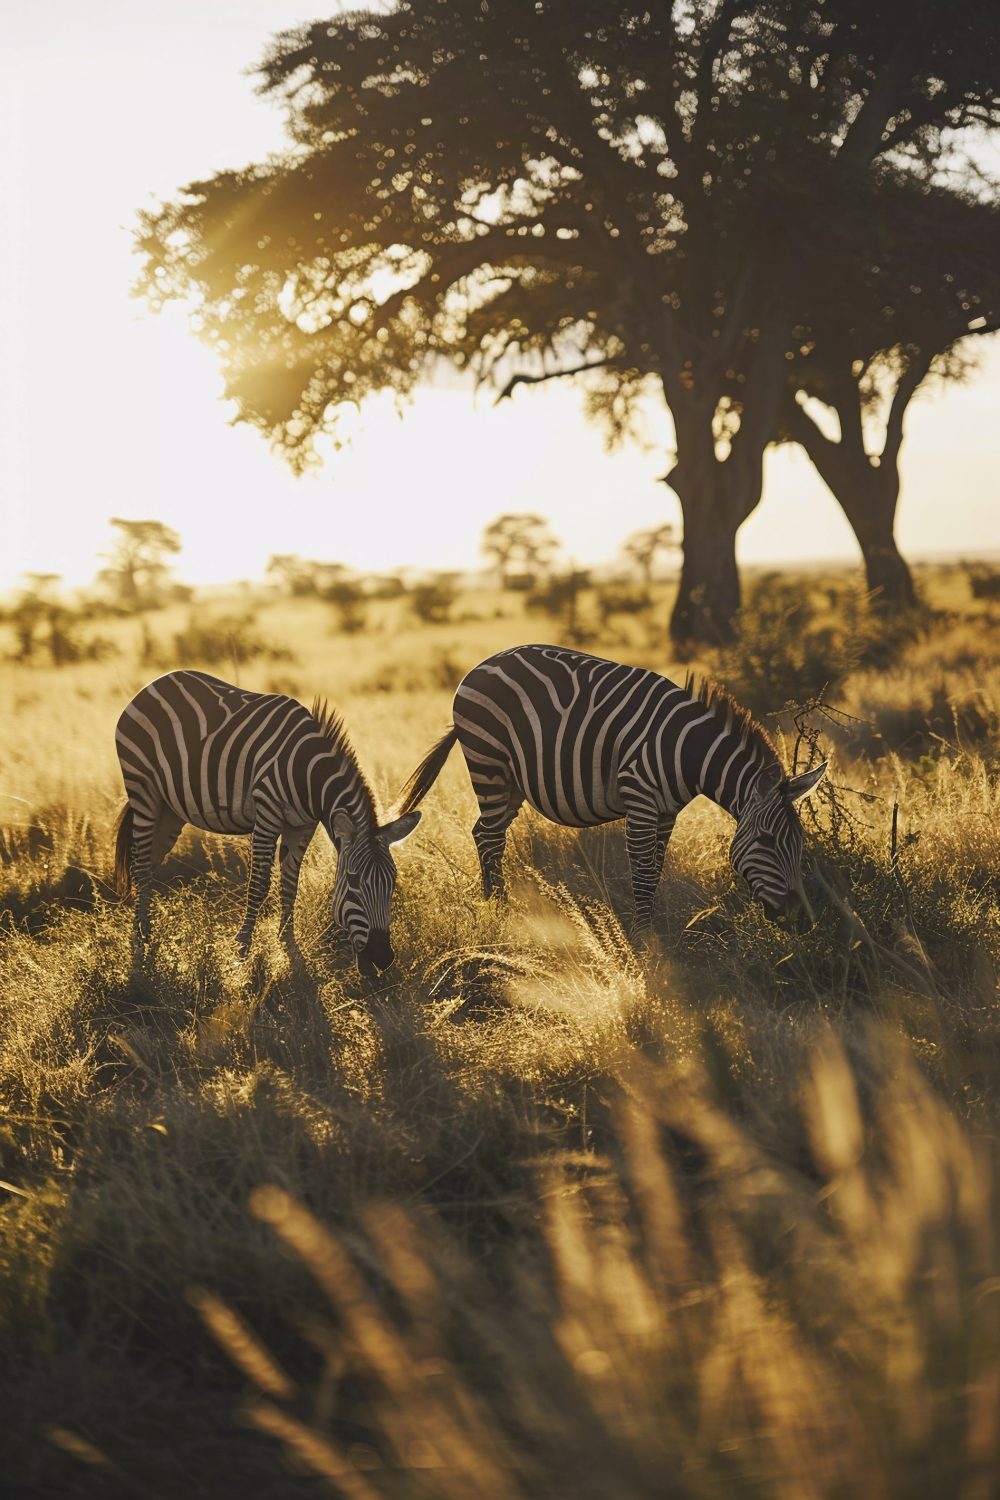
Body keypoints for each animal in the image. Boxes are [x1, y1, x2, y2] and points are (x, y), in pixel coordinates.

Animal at [114, 671, 420, 972]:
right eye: (353, 880)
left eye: (393, 881)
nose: (383, 957)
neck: (310, 777)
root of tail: (155, 683)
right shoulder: (267, 813)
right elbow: (259, 884)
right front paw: (242, 948)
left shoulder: (302, 826)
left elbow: (290, 885)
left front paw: (288, 944)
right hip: (144, 791)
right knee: (140, 864)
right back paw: (142, 939)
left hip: (170, 810)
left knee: (147, 864)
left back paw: (141, 929)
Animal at [394, 644, 827, 934]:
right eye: (767, 841)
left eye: (801, 844)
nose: (801, 922)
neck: (689, 753)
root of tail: (479, 666)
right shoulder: (640, 799)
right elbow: (642, 872)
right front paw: (644, 939)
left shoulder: (667, 812)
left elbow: (656, 869)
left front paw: (652, 929)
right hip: (490, 765)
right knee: (488, 837)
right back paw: (500, 909)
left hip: (511, 782)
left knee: (484, 833)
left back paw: (493, 901)